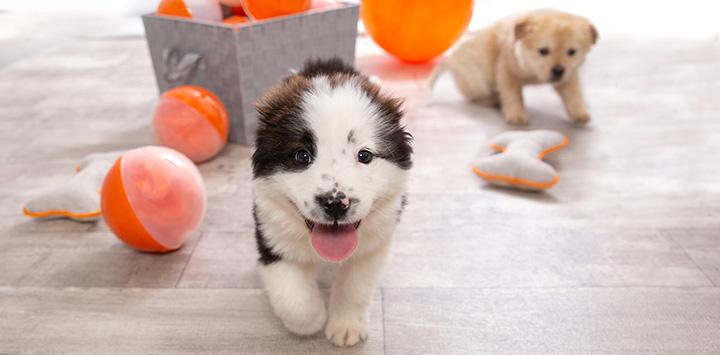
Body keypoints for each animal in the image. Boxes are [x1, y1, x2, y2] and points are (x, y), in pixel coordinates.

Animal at [252, 59, 410, 348]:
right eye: (302, 156)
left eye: (365, 155)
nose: (335, 203)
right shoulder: (272, 233)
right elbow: (295, 301)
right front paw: (313, 320)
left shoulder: (375, 244)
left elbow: (355, 287)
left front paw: (346, 327)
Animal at [430, 9, 600, 125]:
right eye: (543, 51)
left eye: (571, 52)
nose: (558, 71)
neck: (533, 73)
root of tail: (449, 57)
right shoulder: (507, 71)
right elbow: (513, 95)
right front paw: (517, 116)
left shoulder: (569, 75)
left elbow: (574, 94)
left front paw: (579, 113)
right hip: (477, 79)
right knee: (473, 97)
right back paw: (493, 100)